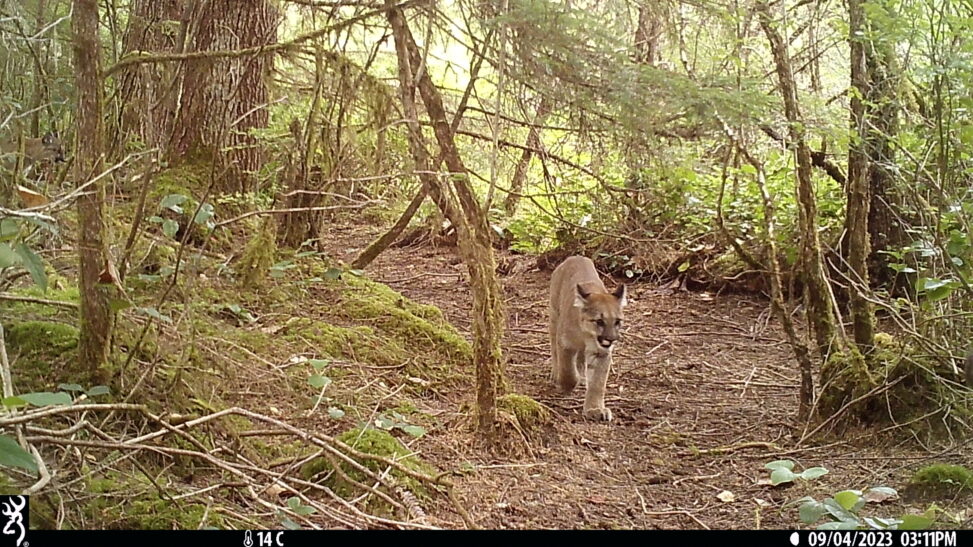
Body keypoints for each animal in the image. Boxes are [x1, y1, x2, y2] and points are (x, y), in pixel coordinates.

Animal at [552, 256, 628, 420]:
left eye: (617, 321)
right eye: (599, 321)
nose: (612, 339)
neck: (586, 335)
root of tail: (576, 256)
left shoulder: (601, 352)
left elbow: (598, 382)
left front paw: (595, 409)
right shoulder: (565, 343)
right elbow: (567, 369)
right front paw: (567, 384)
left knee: (581, 358)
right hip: (554, 314)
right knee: (553, 346)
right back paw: (556, 373)